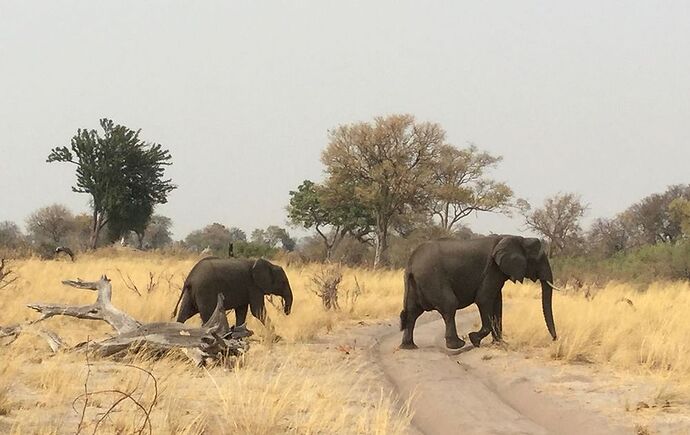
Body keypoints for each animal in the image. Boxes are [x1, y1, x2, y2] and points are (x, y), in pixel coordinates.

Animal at [398, 235, 552, 350]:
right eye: (538, 260)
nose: (554, 339)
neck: (517, 238)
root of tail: (411, 263)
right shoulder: (492, 269)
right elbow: (484, 299)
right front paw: (474, 339)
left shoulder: (497, 272)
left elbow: (497, 302)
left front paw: (500, 344)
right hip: (433, 277)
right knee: (449, 305)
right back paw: (458, 345)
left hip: (415, 283)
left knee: (412, 312)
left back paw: (408, 347)